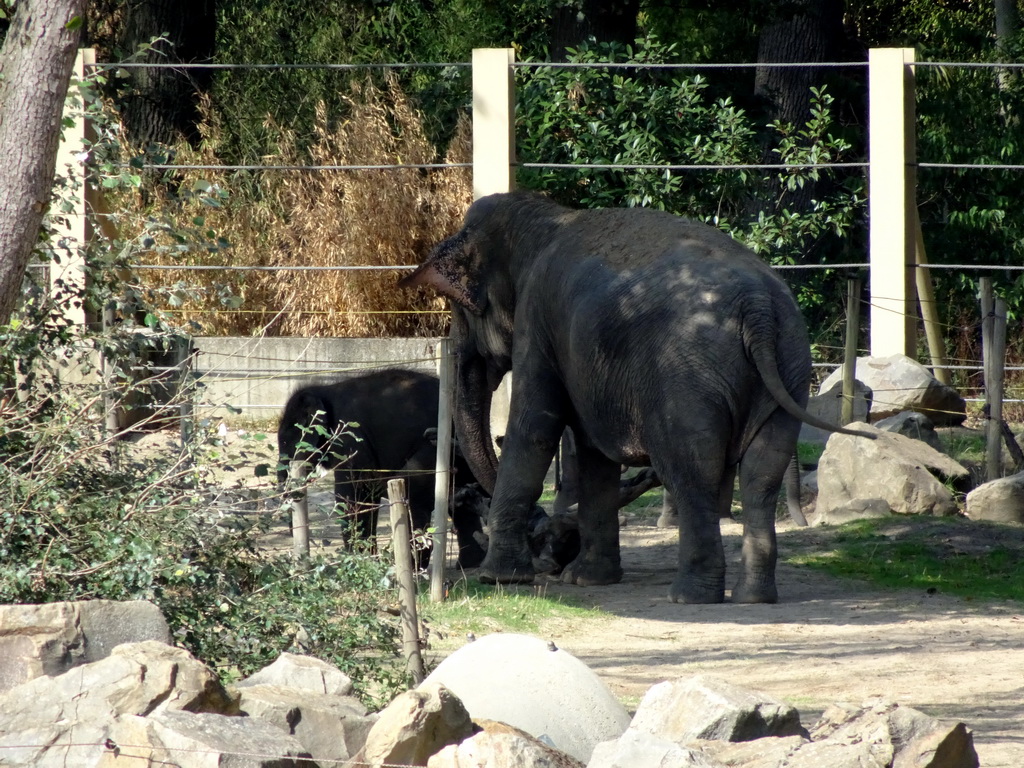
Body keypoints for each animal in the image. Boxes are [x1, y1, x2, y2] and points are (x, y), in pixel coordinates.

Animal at [278, 366, 485, 565]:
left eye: (286, 442)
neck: (324, 391)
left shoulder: (351, 438)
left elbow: (352, 493)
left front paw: (357, 560)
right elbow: (368, 493)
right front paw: (368, 559)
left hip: (435, 447)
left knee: (412, 489)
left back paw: (413, 564)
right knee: (458, 499)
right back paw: (467, 563)